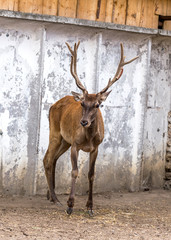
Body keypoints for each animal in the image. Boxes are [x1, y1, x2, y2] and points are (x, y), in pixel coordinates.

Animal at [43, 41, 138, 216]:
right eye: (82, 103)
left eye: (97, 105)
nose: (83, 122)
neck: (88, 138)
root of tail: (53, 105)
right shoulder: (75, 144)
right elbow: (74, 171)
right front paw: (70, 205)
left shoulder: (96, 148)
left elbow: (91, 174)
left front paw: (90, 207)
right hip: (56, 133)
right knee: (47, 159)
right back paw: (56, 199)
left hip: (65, 141)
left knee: (53, 159)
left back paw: (51, 197)